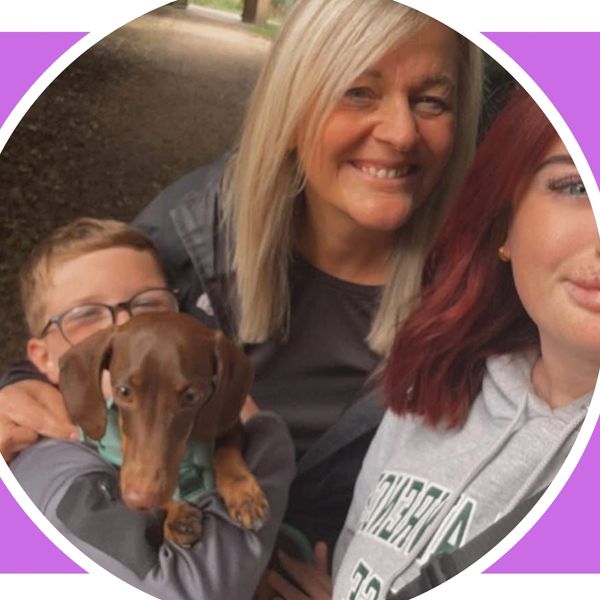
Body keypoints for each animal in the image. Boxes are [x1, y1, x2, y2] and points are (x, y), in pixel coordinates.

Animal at [58, 311, 269, 547]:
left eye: (191, 396)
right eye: (123, 391)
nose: (138, 499)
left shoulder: (230, 427)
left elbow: (226, 453)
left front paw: (244, 494)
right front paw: (177, 512)